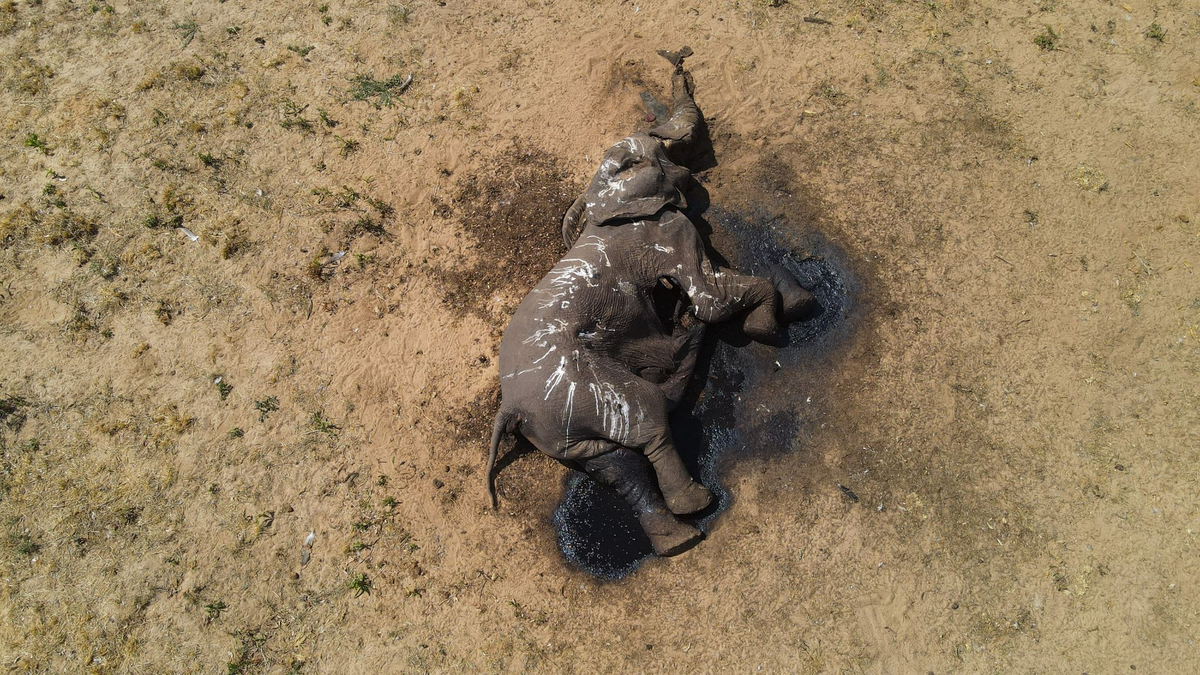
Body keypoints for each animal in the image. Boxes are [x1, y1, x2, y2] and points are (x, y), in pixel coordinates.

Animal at [486, 50, 818, 557]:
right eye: (658, 153)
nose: (679, 59)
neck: (601, 195)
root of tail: (512, 408)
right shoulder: (665, 232)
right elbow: (710, 298)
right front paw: (769, 323)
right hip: (582, 386)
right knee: (646, 415)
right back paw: (695, 507)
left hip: (560, 426)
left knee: (616, 463)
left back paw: (676, 539)